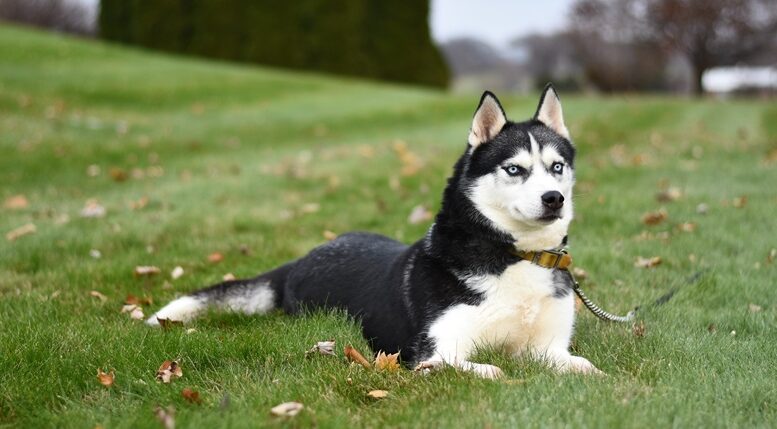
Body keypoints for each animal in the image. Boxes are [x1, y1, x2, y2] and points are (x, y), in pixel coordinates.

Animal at [152, 86, 600, 378]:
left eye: (557, 167)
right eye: (514, 169)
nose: (554, 198)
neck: (515, 256)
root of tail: (303, 258)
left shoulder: (546, 347)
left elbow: (583, 366)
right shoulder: (435, 351)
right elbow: (493, 370)